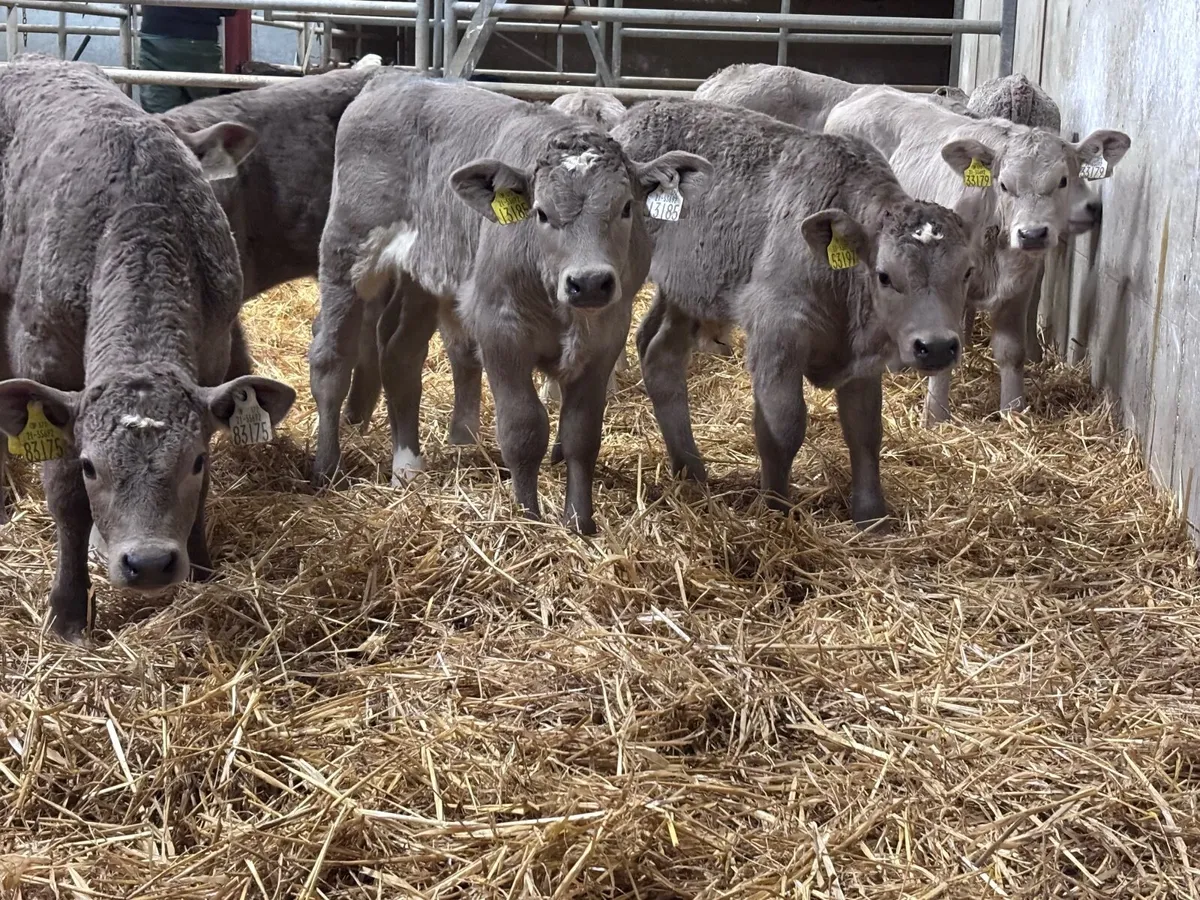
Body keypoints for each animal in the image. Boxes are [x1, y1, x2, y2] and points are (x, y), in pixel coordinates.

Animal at [0, 55, 296, 640]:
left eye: (195, 460)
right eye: (92, 466)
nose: (151, 563)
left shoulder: (212, 356)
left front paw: (202, 571)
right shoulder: (47, 365)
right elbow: (65, 498)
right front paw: (68, 610)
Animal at [308, 73, 710, 534]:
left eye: (626, 207)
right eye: (541, 212)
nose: (589, 283)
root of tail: (391, 78)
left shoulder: (606, 336)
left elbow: (582, 434)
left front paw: (580, 523)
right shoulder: (499, 331)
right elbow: (523, 429)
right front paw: (528, 518)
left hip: (423, 275)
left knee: (400, 355)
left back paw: (407, 467)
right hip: (347, 252)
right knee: (331, 359)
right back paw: (327, 467)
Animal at [612, 99, 976, 528]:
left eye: (967, 271)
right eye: (885, 276)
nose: (935, 347)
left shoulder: (863, 357)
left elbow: (865, 430)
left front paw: (872, 517)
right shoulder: (777, 332)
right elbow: (782, 427)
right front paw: (776, 510)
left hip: (686, 291)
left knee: (660, 354)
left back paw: (692, 472)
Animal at [823, 86, 1129, 423]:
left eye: (1063, 180)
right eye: (1004, 184)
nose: (1032, 233)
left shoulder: (1022, 284)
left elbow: (1012, 350)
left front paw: (1013, 410)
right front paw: (935, 417)